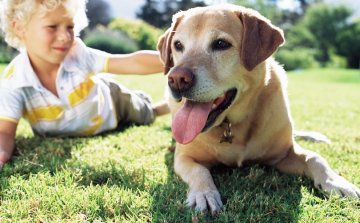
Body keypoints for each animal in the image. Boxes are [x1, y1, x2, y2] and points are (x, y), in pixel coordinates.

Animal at [156, 4, 358, 215]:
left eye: (221, 43)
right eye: (178, 45)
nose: (176, 79)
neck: (233, 124)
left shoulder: (284, 155)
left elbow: (314, 157)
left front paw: (336, 182)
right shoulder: (183, 157)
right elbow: (199, 170)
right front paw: (203, 194)